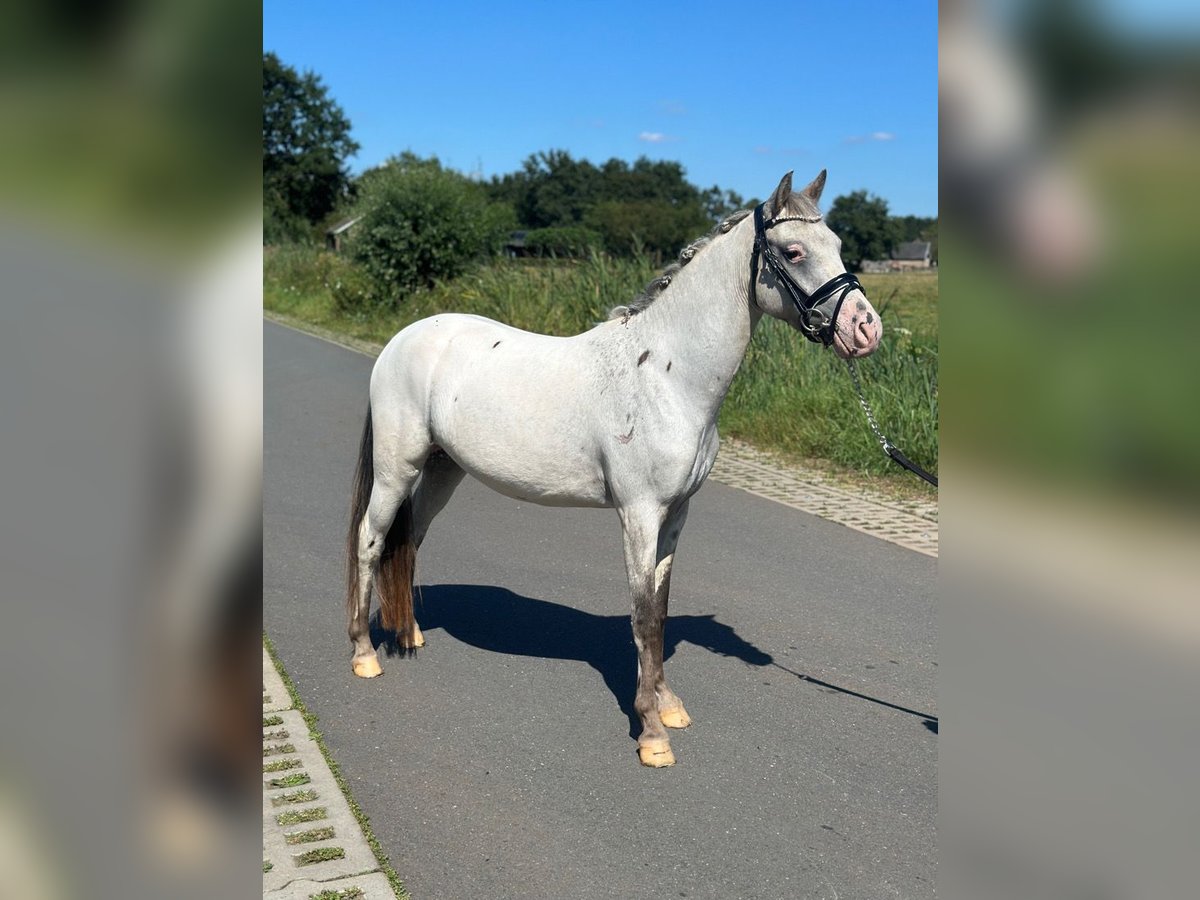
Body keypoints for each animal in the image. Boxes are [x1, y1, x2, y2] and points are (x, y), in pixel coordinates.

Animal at [345, 170, 883, 768]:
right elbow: (642, 615)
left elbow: (661, 610)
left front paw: (669, 706)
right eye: (793, 251)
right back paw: (365, 653)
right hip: (397, 468)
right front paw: (651, 732)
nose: (866, 329)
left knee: (410, 538)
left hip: (443, 471)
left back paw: (410, 634)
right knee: (370, 541)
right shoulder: (639, 513)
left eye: (837, 244)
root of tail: (404, 338)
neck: (665, 375)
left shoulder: (676, 515)